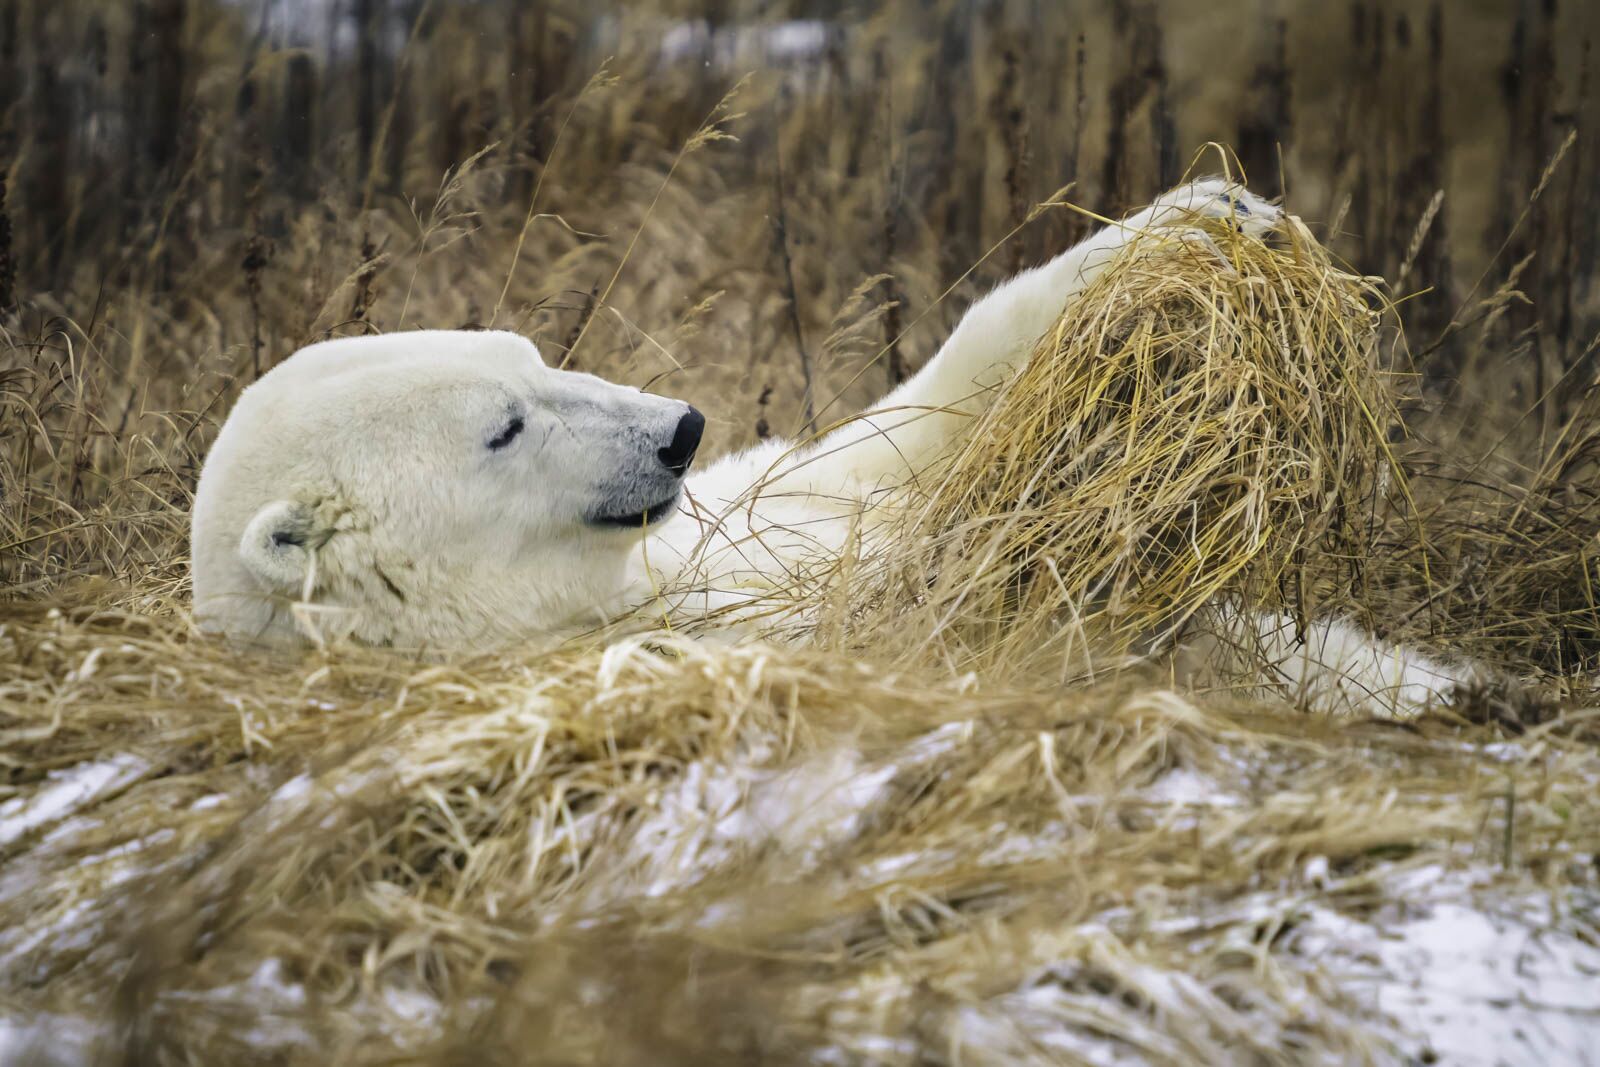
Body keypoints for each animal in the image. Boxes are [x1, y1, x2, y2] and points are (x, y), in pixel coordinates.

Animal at [193, 182, 1465, 713]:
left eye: (537, 353)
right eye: (502, 428)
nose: (679, 429)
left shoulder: (738, 508)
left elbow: (886, 445)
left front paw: (1205, 220)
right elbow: (963, 606)